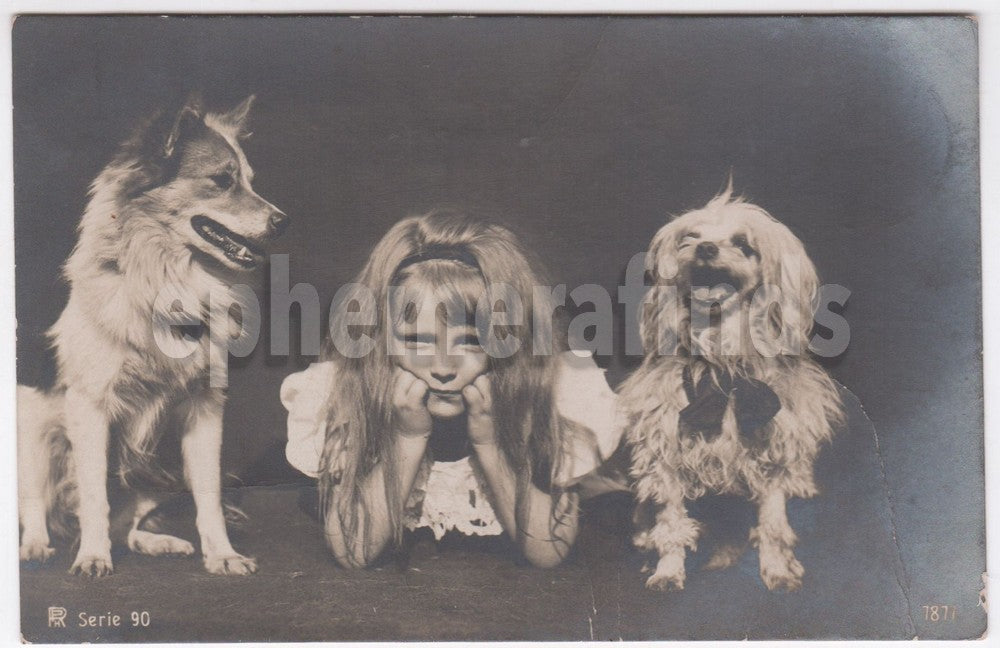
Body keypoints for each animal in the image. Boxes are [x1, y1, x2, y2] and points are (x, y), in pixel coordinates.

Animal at [17, 96, 290, 576]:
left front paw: (222, 554)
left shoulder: (205, 408)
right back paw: (36, 545)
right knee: (38, 502)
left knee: (131, 522)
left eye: (250, 181)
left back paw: (159, 543)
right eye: (222, 180)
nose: (283, 221)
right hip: (31, 428)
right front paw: (92, 557)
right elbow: (94, 494)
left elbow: (208, 497)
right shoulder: (88, 406)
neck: (166, 278)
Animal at [624, 187, 844, 592]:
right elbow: (672, 523)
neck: (723, 368)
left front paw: (777, 569)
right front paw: (667, 570)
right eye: (690, 237)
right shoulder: (666, 456)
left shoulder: (772, 452)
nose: (706, 248)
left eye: (743, 244)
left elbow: (773, 524)